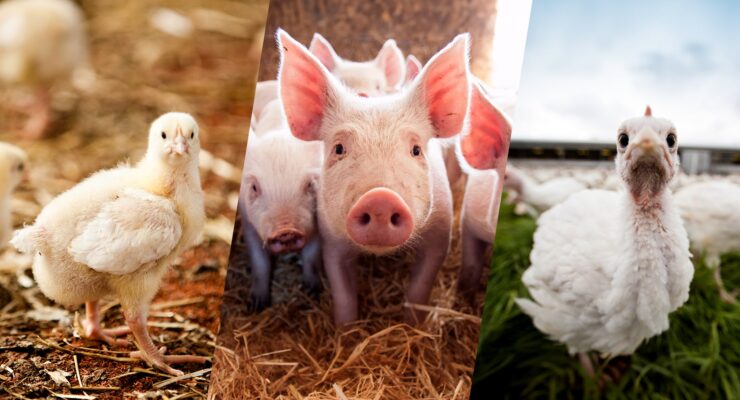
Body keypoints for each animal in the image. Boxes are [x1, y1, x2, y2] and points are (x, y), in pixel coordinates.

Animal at [239, 125, 323, 310]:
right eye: (255, 187)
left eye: (309, 184)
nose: (286, 230)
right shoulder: (248, 224)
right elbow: (259, 262)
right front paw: (256, 306)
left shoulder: (315, 224)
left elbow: (311, 257)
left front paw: (313, 293)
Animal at [277, 29, 471, 325]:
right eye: (339, 148)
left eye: (416, 149)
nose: (380, 198)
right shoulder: (331, 237)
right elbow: (343, 292)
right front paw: (346, 330)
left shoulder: (441, 230)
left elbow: (420, 286)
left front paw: (412, 326)